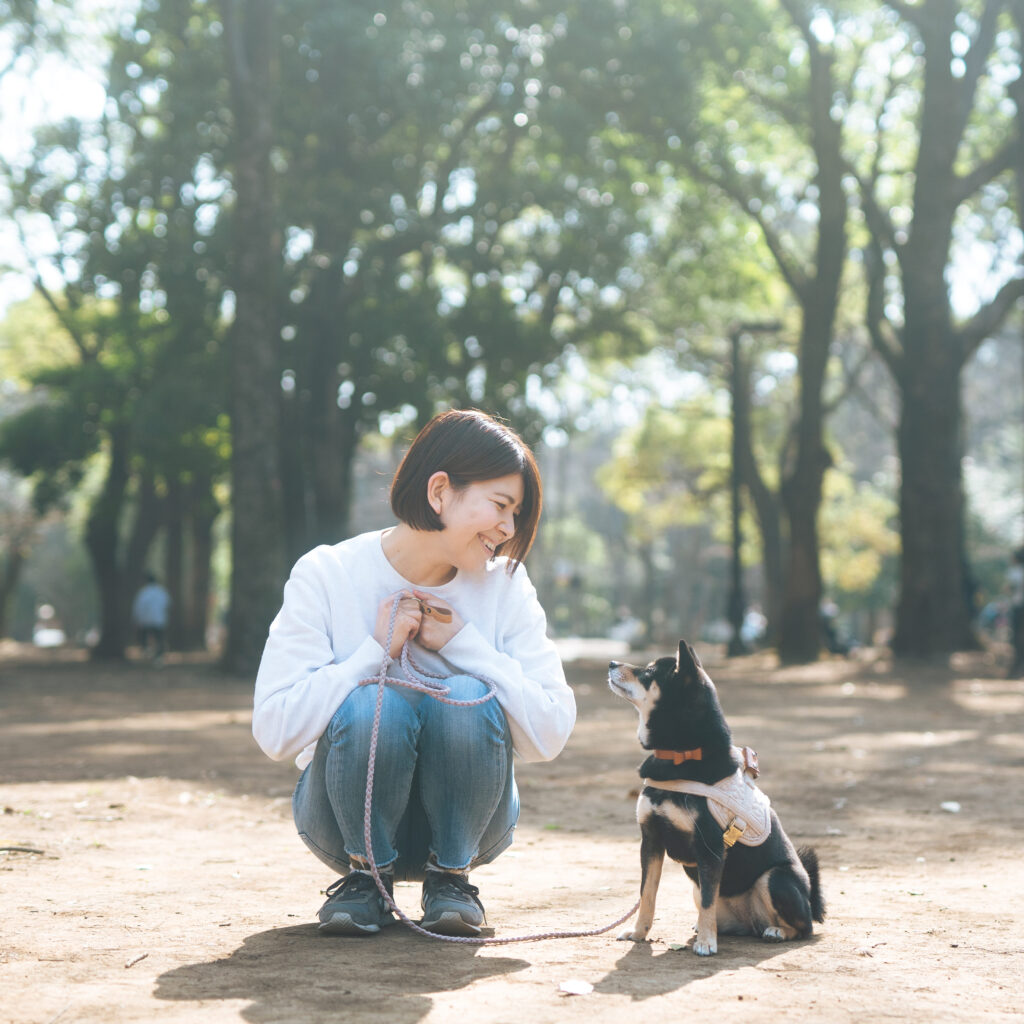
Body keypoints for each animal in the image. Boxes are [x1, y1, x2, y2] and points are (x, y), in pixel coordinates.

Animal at [606, 634, 823, 954]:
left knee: (804, 928)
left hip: (776, 879)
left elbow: (708, 899)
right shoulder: (651, 840)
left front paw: (707, 943)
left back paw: (775, 931)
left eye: (648, 672)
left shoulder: (709, 847)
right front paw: (638, 932)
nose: (611, 662)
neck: (681, 755)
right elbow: (647, 894)